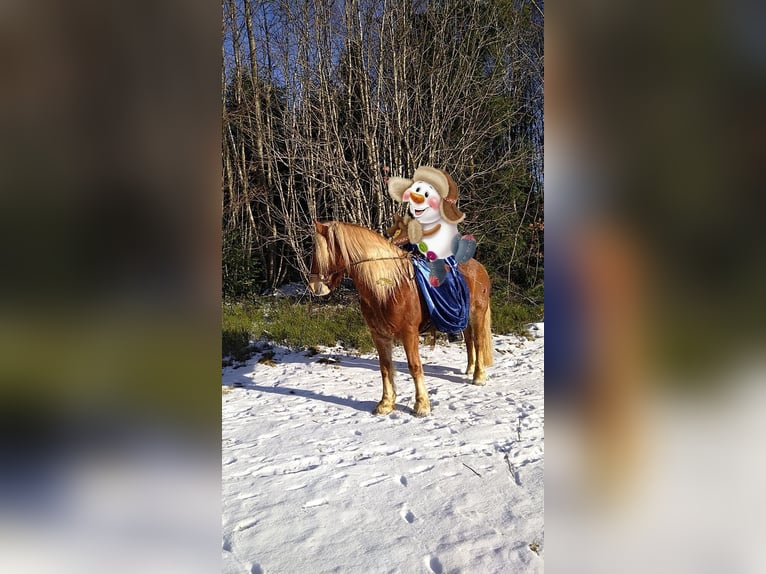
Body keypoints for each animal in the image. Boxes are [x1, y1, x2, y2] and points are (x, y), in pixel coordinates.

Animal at [308, 222, 496, 418]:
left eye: (322, 250)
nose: (314, 286)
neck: (388, 289)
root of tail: (480, 268)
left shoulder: (409, 333)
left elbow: (414, 366)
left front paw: (422, 405)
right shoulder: (379, 335)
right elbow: (385, 367)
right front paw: (385, 403)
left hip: (477, 313)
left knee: (478, 342)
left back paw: (478, 376)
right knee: (468, 341)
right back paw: (469, 368)